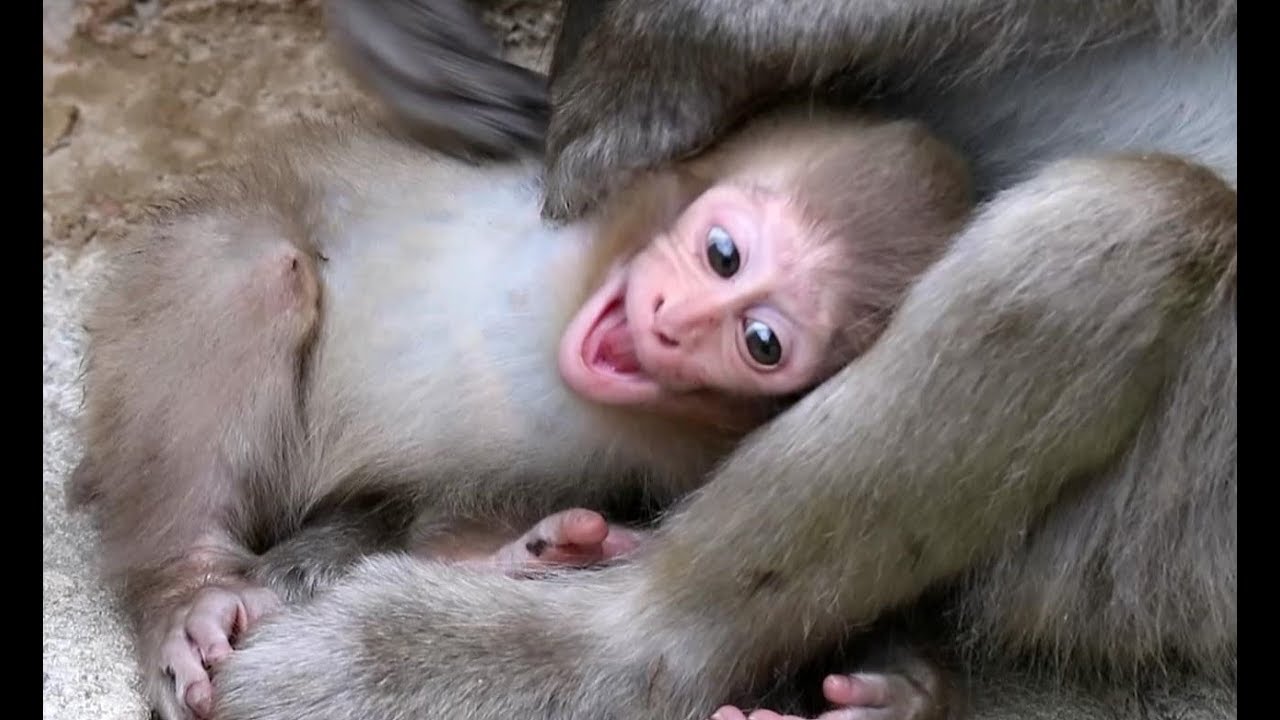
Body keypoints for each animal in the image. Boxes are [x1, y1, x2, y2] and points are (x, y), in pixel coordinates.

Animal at [70, 108, 975, 720]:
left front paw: (898, 690)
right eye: (723, 254)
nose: (675, 322)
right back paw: (189, 591)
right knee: (252, 268)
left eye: (761, 340)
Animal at [206, 1, 1234, 718]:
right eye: (722, 254)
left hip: (1156, 550)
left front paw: (671, 44)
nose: (676, 319)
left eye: (763, 341)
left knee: (1151, 217)